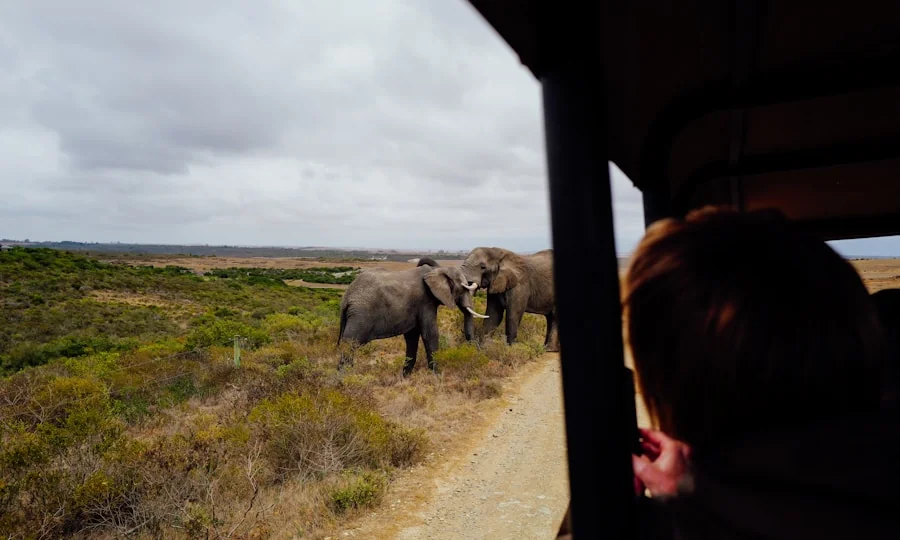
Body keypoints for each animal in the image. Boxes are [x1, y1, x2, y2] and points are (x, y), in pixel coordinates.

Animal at [337, 259, 489, 376]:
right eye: (463, 289)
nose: (478, 353)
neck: (436, 270)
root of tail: (347, 298)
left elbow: (412, 337)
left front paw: (404, 378)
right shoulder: (425, 301)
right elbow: (430, 334)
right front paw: (438, 376)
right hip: (360, 316)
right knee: (349, 345)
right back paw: (343, 381)